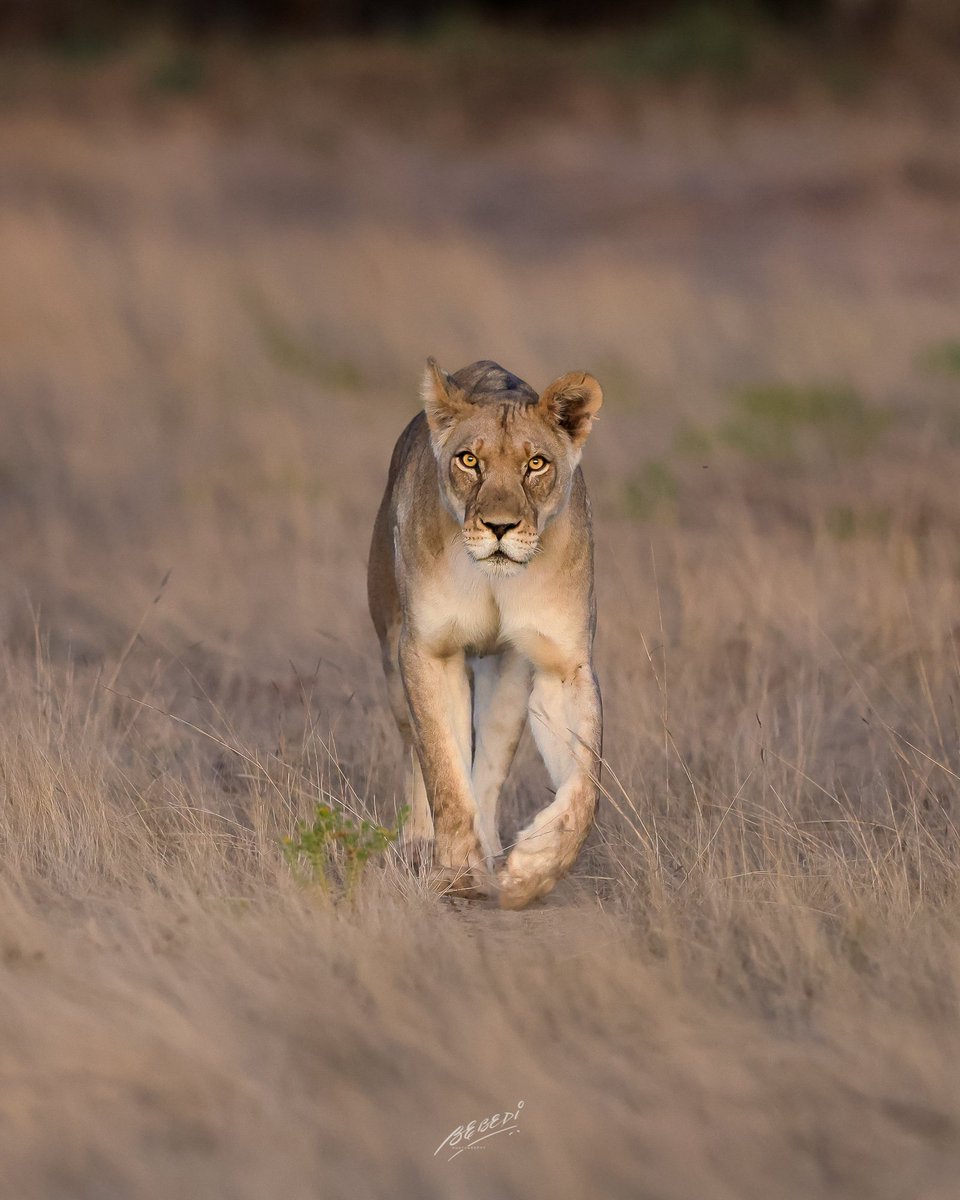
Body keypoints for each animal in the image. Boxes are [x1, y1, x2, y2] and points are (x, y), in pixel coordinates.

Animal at [367, 359, 603, 910]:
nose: (499, 527)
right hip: (391, 660)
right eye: (469, 460)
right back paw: (419, 846)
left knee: (490, 767)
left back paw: (494, 851)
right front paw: (457, 871)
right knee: (420, 758)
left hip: (508, 673)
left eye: (536, 463)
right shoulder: (427, 650)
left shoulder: (562, 664)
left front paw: (534, 868)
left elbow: (586, 783)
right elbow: (443, 771)